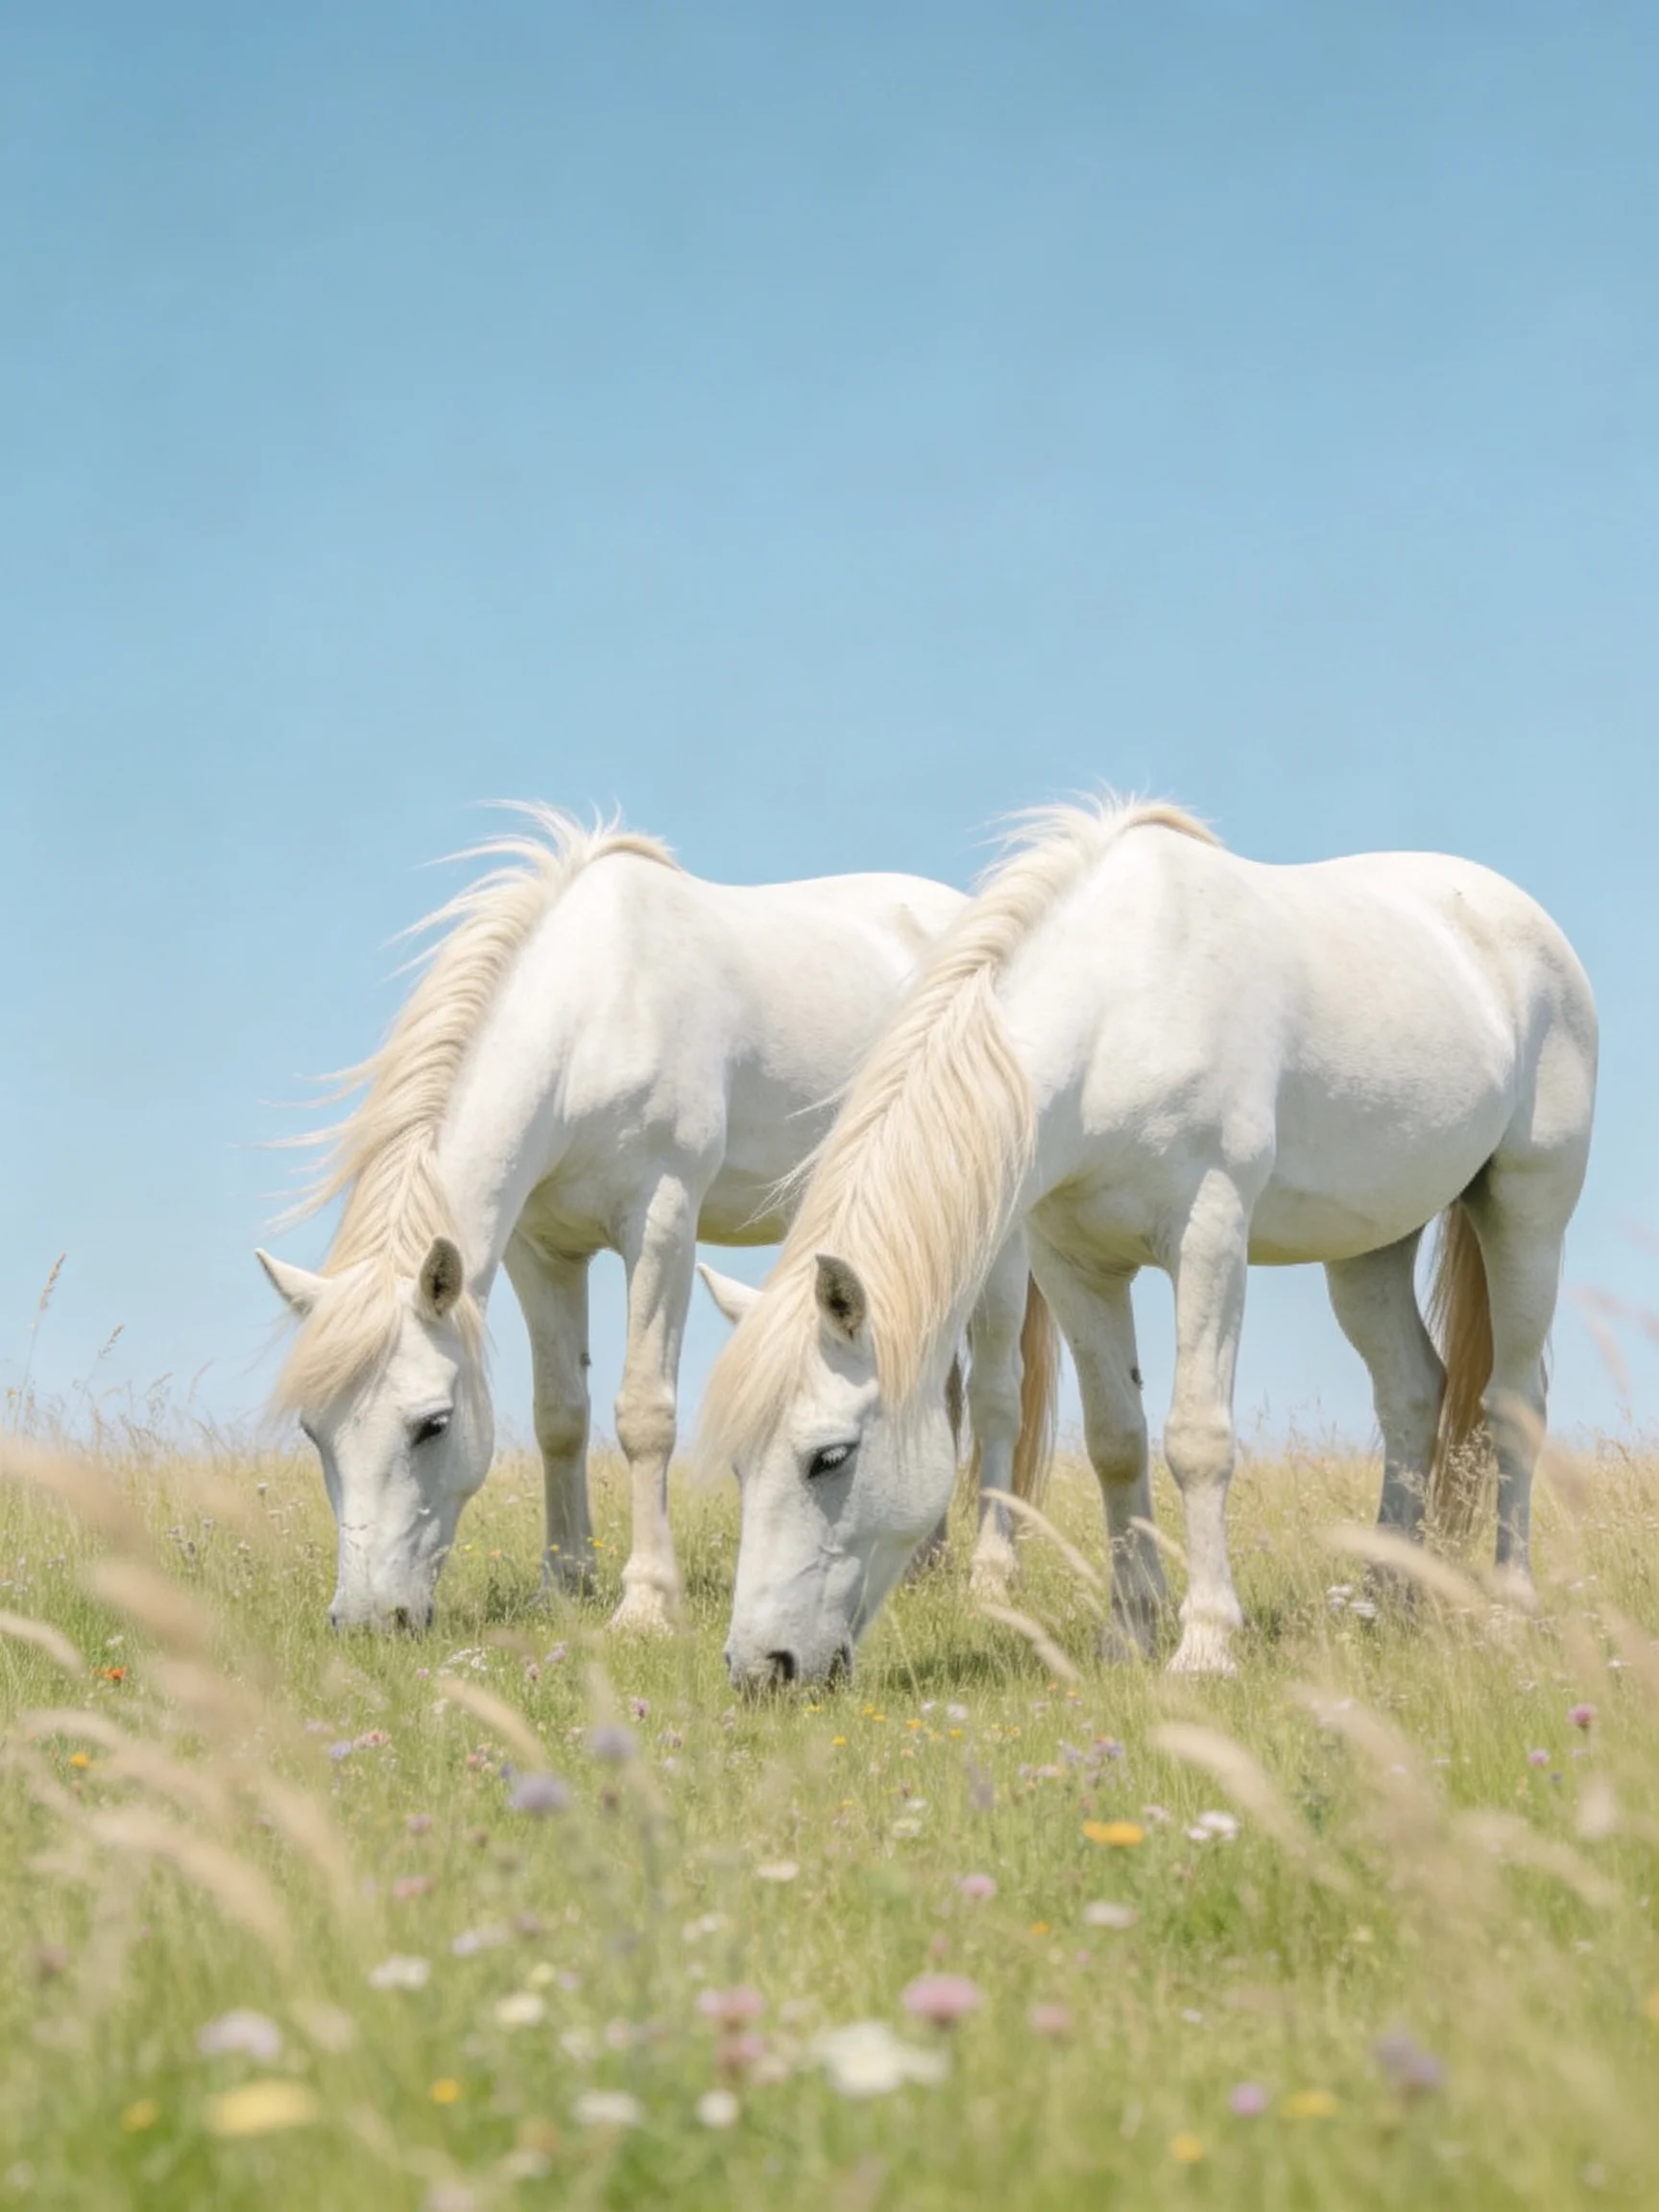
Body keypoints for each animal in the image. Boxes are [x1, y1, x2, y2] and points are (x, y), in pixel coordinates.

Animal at [255, 808, 1054, 1632]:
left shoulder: (662, 1222)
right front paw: (563, 1584)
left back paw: (991, 1579)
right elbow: (560, 1416)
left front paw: (646, 1603)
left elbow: (644, 1413)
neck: (594, 1014)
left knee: (995, 1396)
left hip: (998, 1245)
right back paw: (923, 1563)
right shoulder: (541, 1253)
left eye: (432, 1424)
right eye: (314, 1430)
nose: (365, 1621)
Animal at [700, 797, 1598, 1686]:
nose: (760, 1668)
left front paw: (1205, 1644)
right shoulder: (1075, 1264)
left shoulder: (1209, 1238)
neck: (1114, 1016)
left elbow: (1196, 1439)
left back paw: (1510, 1608)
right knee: (1412, 1393)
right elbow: (1117, 1442)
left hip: (1526, 1209)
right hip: (1370, 1248)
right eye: (739, 1464)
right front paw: (1128, 1630)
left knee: (1513, 1399)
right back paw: (1387, 1598)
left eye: (830, 1457)